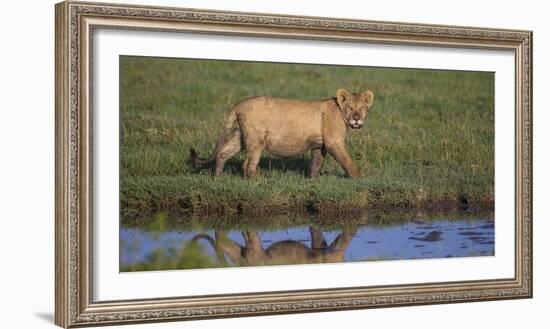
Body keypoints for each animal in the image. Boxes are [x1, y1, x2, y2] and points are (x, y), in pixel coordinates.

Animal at [190, 88, 376, 177]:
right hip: (256, 140)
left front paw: (313, 182)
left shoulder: (319, 145)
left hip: (241, 136)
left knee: (223, 153)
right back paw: (260, 182)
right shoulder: (333, 142)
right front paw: (360, 179)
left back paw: (217, 177)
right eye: (350, 107)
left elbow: (316, 164)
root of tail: (238, 104)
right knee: (247, 165)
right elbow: (348, 163)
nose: (357, 118)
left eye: (362, 108)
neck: (340, 113)